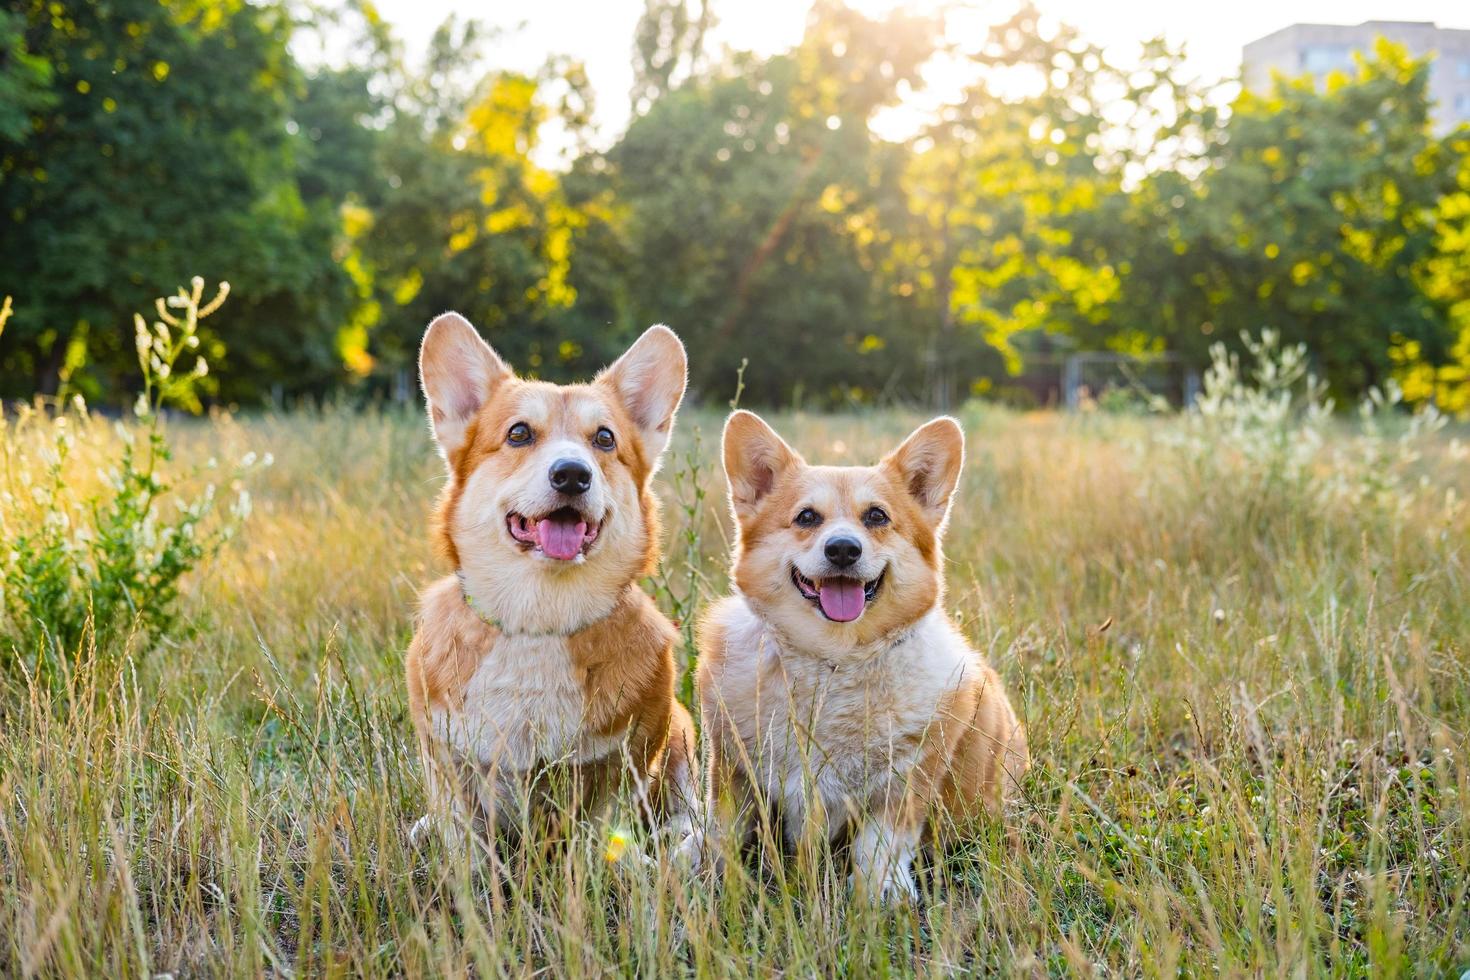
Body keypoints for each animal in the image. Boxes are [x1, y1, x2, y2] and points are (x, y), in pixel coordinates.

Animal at [405, 315, 696, 852]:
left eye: (604, 440)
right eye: (519, 433)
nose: (572, 474)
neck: (539, 622)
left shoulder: (620, 766)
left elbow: (599, 832)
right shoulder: (447, 760)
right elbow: (466, 840)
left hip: (683, 732)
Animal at [685, 411, 1023, 899]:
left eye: (877, 516)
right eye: (807, 516)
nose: (843, 549)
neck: (832, 661)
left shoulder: (901, 789)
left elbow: (876, 851)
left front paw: (881, 896)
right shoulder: (733, 773)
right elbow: (722, 833)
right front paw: (703, 871)